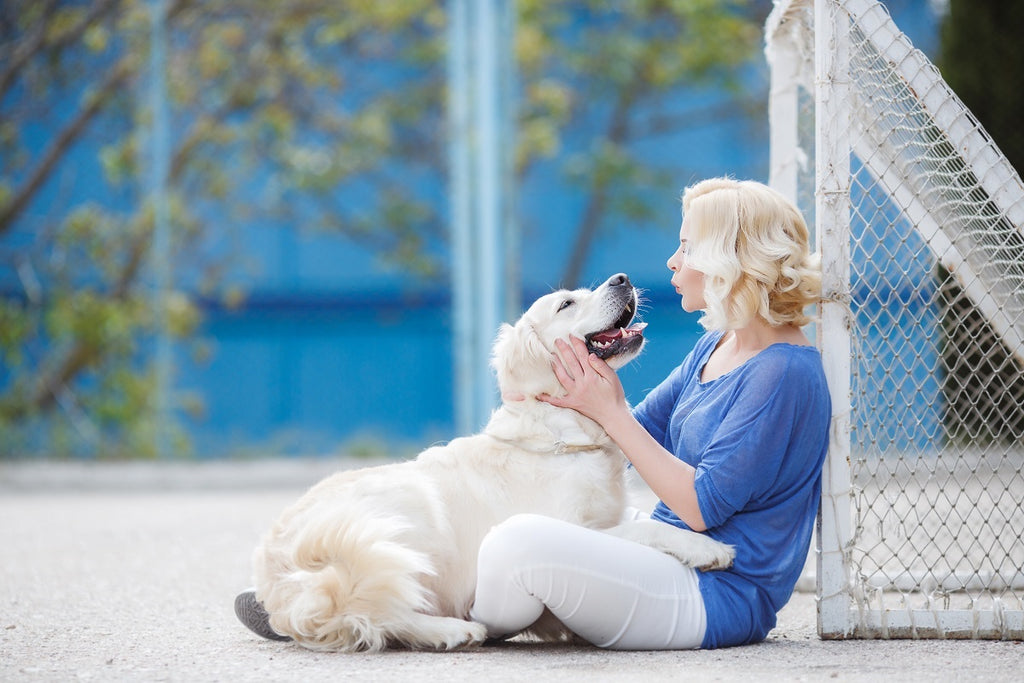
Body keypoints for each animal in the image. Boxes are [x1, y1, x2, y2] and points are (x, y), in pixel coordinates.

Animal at [247, 270, 733, 651]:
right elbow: (647, 528)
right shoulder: (570, 527)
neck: (561, 429)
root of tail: (276, 572)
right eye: (567, 303)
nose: (622, 278)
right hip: (397, 517)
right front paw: (708, 548)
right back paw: (448, 631)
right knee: (378, 608)